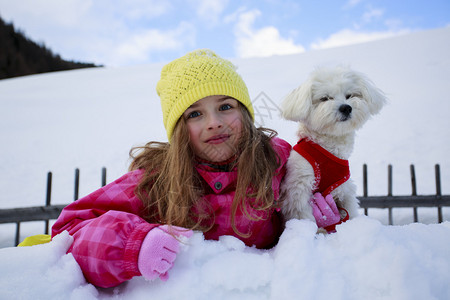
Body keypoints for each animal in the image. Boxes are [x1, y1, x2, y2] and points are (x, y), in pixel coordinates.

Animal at [280, 65, 384, 225]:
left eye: (349, 95)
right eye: (325, 98)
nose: (346, 108)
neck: (328, 147)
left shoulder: (344, 189)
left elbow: (349, 211)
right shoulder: (299, 189)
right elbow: (304, 216)